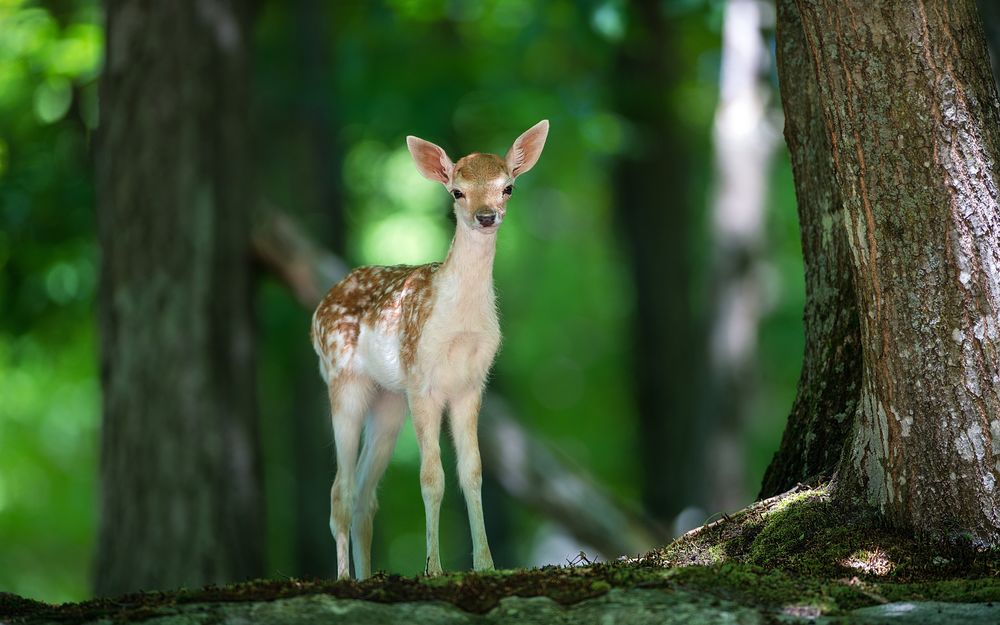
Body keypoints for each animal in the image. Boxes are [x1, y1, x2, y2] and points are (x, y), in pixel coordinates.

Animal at [310, 119, 548, 576]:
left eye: (507, 187)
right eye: (457, 191)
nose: (486, 216)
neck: (459, 324)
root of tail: (319, 309)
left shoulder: (471, 384)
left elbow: (472, 472)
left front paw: (485, 565)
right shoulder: (422, 380)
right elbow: (431, 477)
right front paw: (433, 568)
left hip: (388, 400)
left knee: (365, 495)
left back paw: (366, 576)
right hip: (343, 380)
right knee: (339, 492)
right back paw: (345, 578)